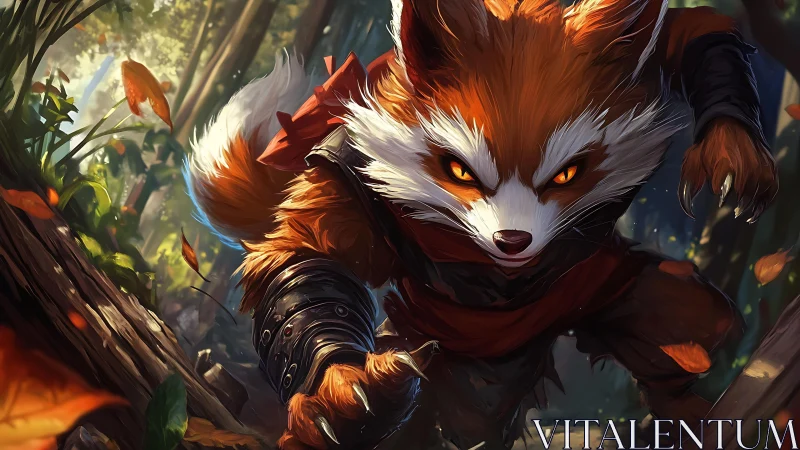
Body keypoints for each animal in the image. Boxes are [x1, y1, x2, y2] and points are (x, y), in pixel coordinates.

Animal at [187, 0, 778, 449]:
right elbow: (307, 256)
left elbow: (693, 31)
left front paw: (732, 146)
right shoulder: (348, 173)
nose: (513, 241)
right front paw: (343, 388)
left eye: (568, 174)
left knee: (690, 317)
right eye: (458, 170)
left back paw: (684, 406)